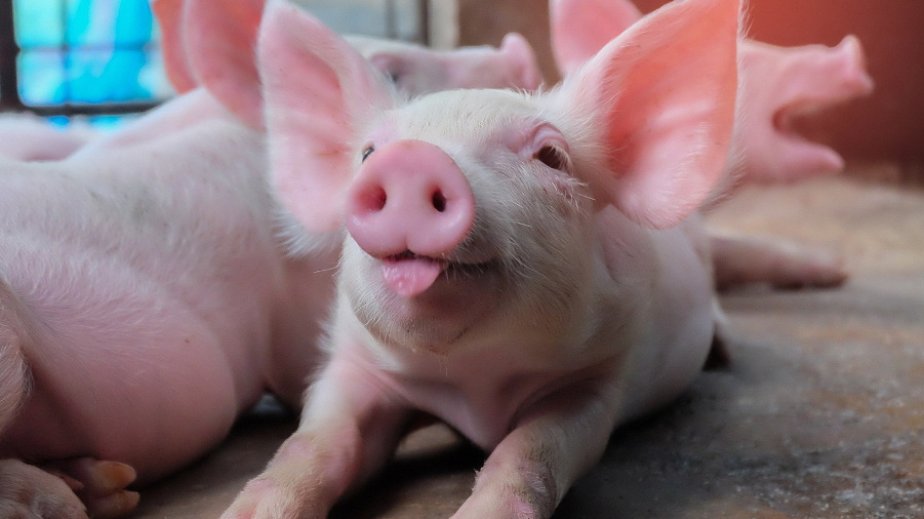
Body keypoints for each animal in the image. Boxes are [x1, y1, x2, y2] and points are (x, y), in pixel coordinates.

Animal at [220, 0, 739, 517]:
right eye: (368, 154)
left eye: (550, 156)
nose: (412, 159)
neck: (474, 381)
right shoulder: (354, 363)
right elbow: (313, 441)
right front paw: (246, 511)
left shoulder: (597, 376)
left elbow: (530, 453)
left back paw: (725, 357)